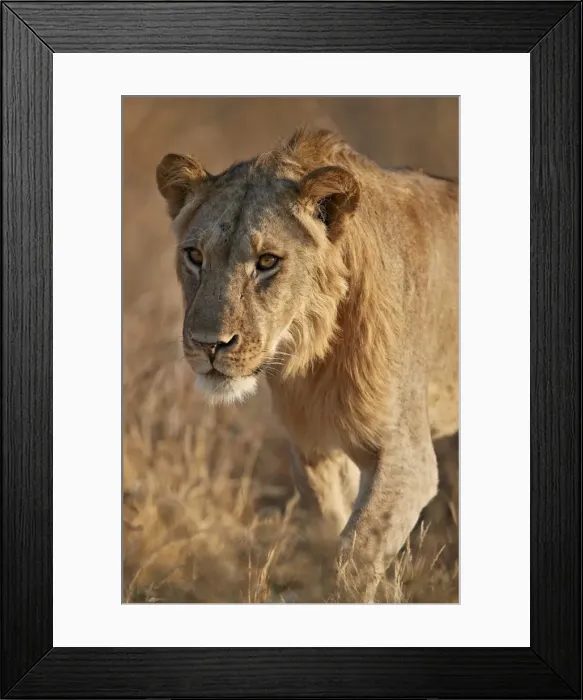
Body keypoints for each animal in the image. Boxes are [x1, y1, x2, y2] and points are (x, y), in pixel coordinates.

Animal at [156, 128, 458, 601]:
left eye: (267, 262)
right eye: (195, 256)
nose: (208, 344)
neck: (314, 354)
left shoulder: (407, 456)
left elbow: (356, 551)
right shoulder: (316, 447)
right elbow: (333, 530)